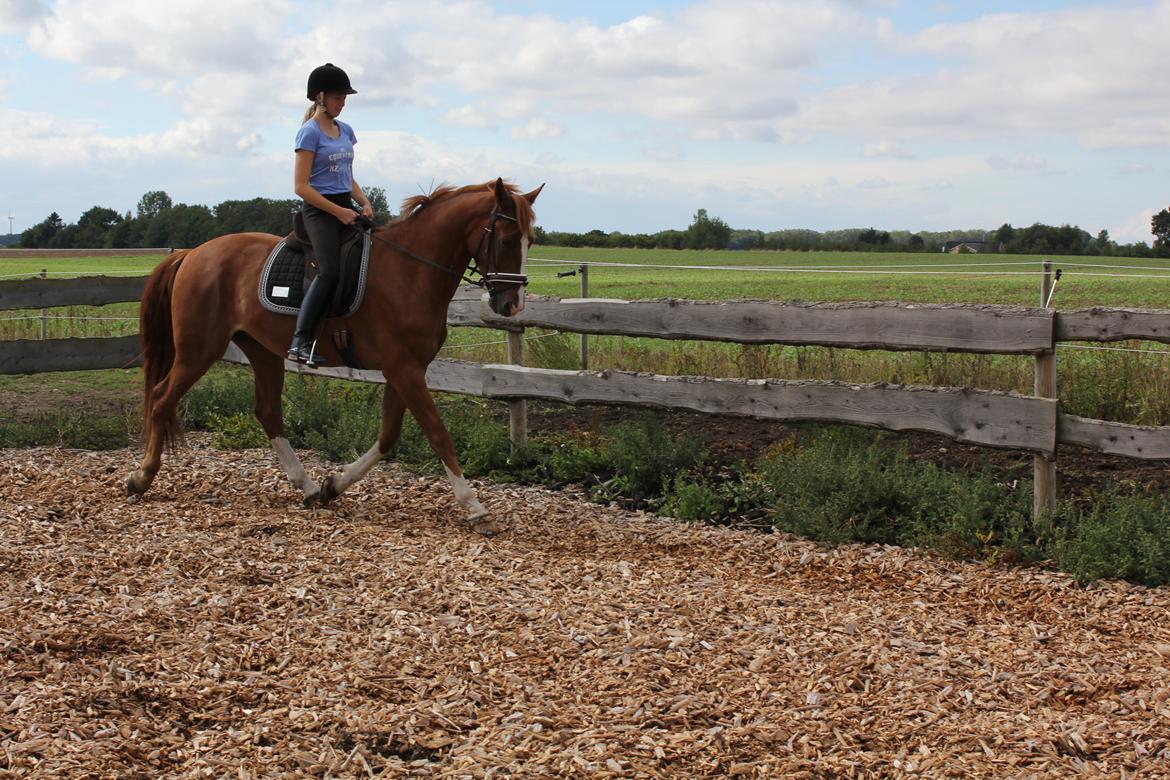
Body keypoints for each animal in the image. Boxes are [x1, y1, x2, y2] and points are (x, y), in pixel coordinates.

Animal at [125, 178, 545, 533]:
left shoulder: (403, 370)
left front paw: (334, 486)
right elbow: (438, 434)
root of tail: (193, 253)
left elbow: (389, 435)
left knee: (267, 411)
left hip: (260, 350)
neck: (411, 272)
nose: (513, 305)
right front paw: (475, 508)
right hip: (198, 350)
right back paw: (141, 477)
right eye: (507, 240)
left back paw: (308, 487)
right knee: (162, 399)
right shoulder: (405, 370)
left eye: (530, 241)